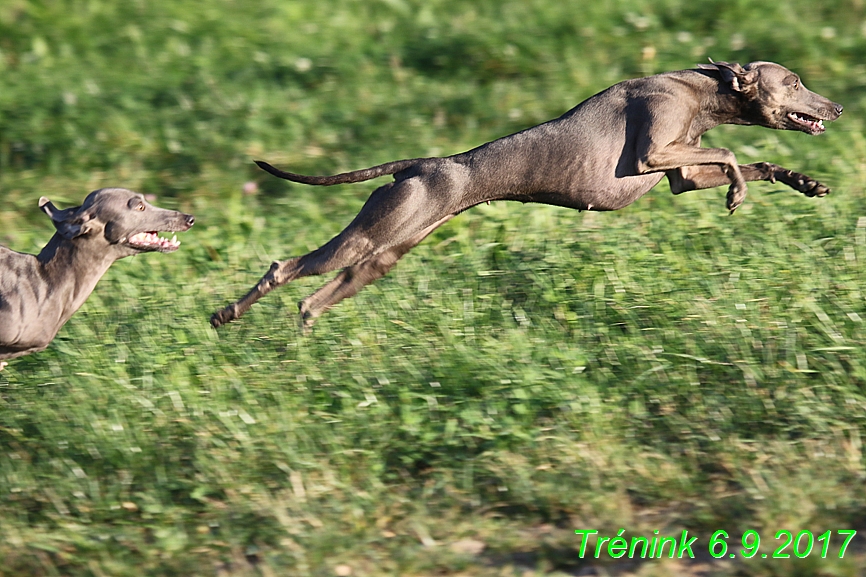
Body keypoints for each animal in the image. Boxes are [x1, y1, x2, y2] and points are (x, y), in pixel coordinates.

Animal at [211, 59, 844, 328]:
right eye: (793, 82)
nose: (836, 107)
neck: (700, 89)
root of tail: (419, 165)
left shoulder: (681, 173)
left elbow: (755, 161)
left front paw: (804, 182)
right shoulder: (651, 155)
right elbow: (734, 155)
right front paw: (737, 195)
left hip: (384, 253)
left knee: (310, 297)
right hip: (370, 236)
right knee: (285, 267)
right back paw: (231, 315)